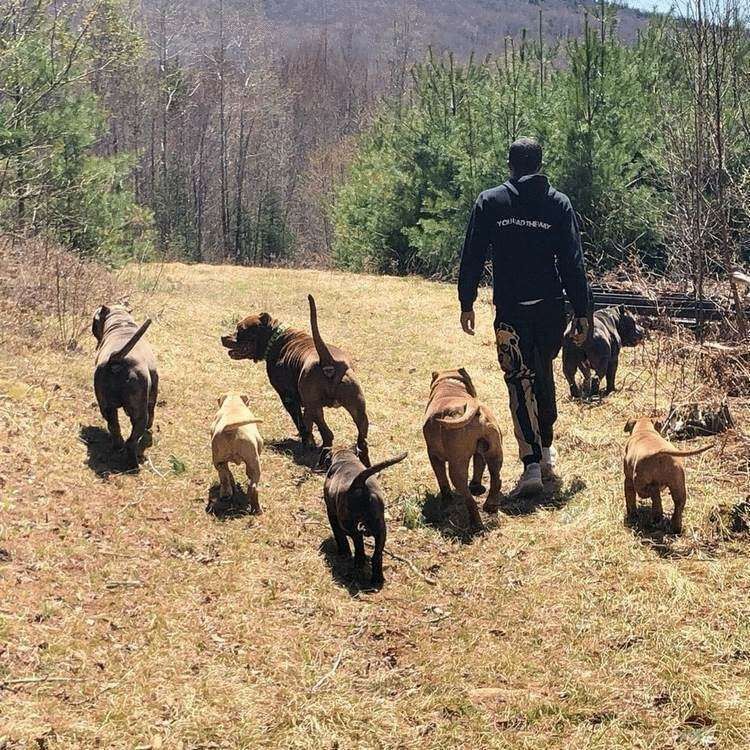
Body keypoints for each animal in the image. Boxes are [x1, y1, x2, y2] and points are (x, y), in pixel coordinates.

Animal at [93, 304, 159, 458]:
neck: (121, 323)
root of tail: (116, 358)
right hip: (139, 410)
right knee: (134, 435)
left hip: (106, 406)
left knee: (114, 426)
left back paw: (117, 446)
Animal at [220, 296, 370, 468]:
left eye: (241, 328)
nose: (223, 337)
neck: (275, 338)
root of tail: (328, 361)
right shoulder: (306, 407)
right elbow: (307, 424)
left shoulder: (289, 400)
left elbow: (301, 423)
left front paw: (307, 443)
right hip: (358, 410)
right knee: (362, 440)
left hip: (316, 407)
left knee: (328, 435)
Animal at [322, 450, 408, 592]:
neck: (345, 457)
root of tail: (358, 483)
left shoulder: (331, 513)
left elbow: (339, 536)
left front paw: (343, 552)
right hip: (381, 529)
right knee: (376, 555)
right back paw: (377, 578)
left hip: (347, 522)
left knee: (357, 542)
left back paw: (359, 562)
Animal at [424, 368, 506, 528]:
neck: (450, 388)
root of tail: (473, 408)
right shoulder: (479, 453)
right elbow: (478, 467)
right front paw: (476, 486)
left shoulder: (434, 456)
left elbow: (441, 479)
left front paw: (446, 499)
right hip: (495, 453)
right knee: (496, 478)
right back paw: (491, 505)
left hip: (457, 467)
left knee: (469, 499)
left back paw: (476, 524)